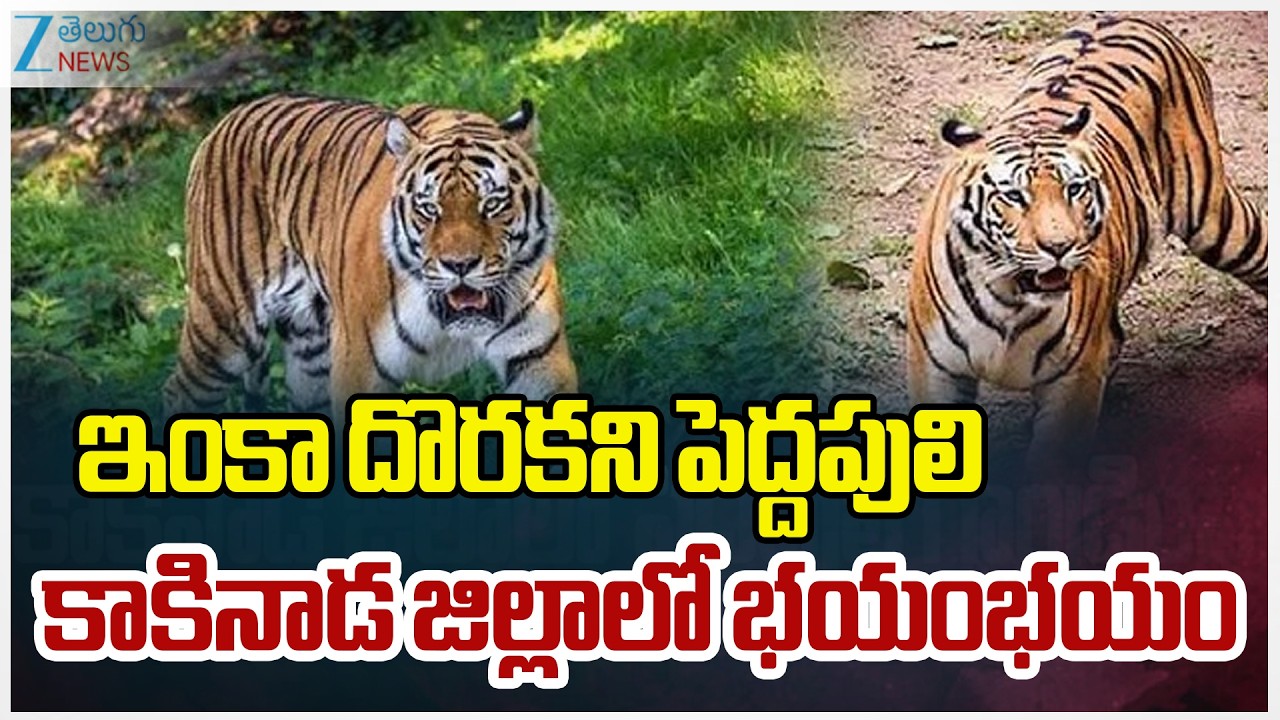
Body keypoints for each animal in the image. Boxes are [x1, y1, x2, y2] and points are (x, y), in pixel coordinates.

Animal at [162, 93, 578, 420]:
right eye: (429, 208)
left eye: (492, 204)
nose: (459, 266)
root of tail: (226, 120)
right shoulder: (358, 366)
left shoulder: (536, 357)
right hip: (222, 328)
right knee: (180, 390)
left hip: (311, 352)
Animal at [906, 16, 1267, 467]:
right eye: (1014, 196)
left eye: (1073, 189)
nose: (1059, 247)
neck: (1009, 300)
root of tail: (1128, 17)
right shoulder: (937, 370)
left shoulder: (1073, 379)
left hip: (1214, 216)